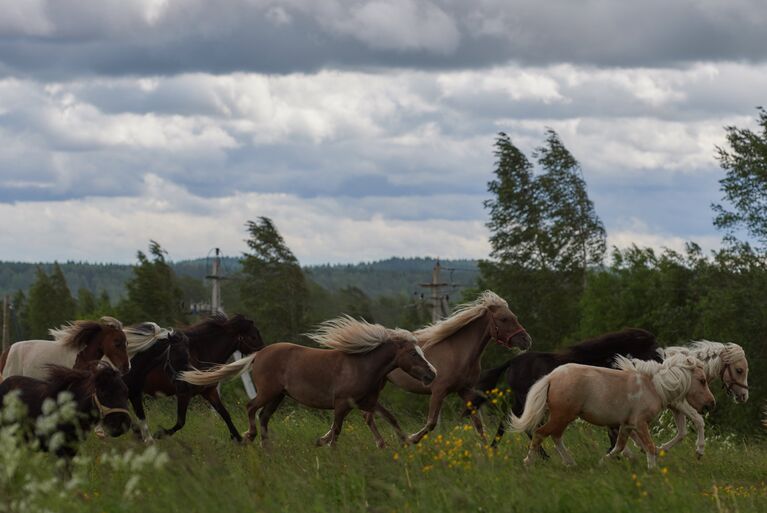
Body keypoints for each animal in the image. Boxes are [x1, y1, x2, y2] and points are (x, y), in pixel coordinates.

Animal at [142, 312, 266, 440]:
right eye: (253, 337)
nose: (263, 354)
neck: (198, 355)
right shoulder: (183, 393)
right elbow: (180, 422)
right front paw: (159, 434)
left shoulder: (209, 391)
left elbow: (225, 414)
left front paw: (239, 439)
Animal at [176, 314, 436, 446]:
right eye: (414, 354)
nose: (432, 374)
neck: (362, 364)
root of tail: (258, 354)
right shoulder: (342, 403)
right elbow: (337, 430)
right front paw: (327, 447)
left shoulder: (367, 402)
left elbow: (389, 418)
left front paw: (406, 442)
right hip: (269, 392)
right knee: (251, 407)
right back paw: (250, 436)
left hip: (278, 396)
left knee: (264, 416)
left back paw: (266, 446)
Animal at [388, 290, 532, 442]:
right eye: (504, 319)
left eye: (514, 317)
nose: (526, 340)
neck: (457, 352)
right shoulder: (438, 391)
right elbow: (431, 423)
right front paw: (411, 439)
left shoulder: (465, 390)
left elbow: (479, 425)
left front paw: (488, 448)